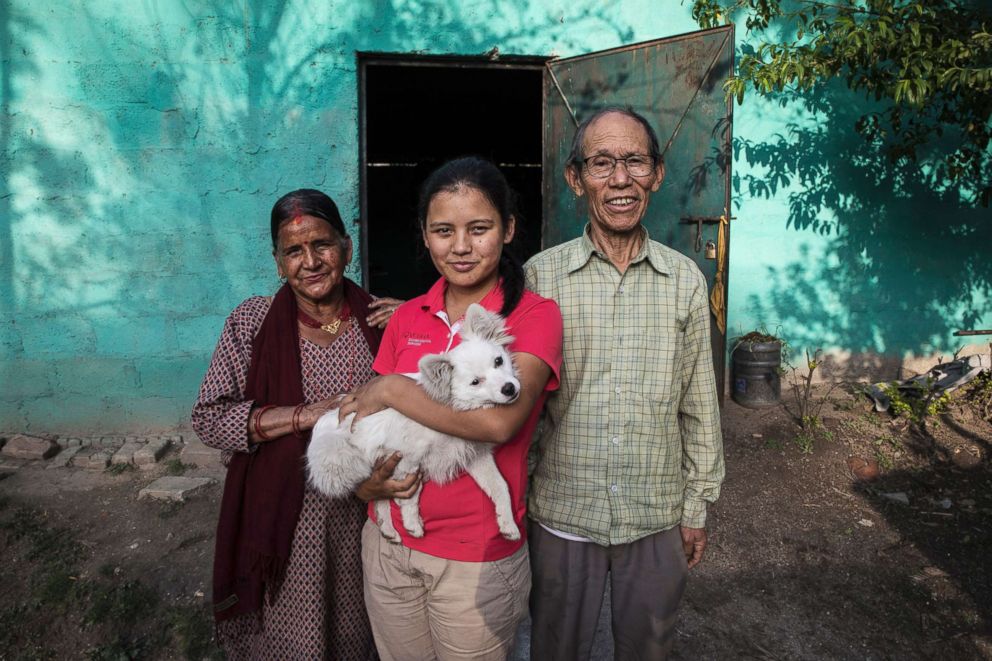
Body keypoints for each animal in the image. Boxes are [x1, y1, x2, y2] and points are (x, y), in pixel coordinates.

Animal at [306, 304, 524, 540]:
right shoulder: (407, 457)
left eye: (498, 361)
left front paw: (508, 524)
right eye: (475, 382)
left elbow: (500, 486)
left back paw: (387, 528)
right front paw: (412, 524)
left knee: (379, 499)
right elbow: (411, 494)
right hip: (349, 458)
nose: (509, 389)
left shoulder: (476, 456)